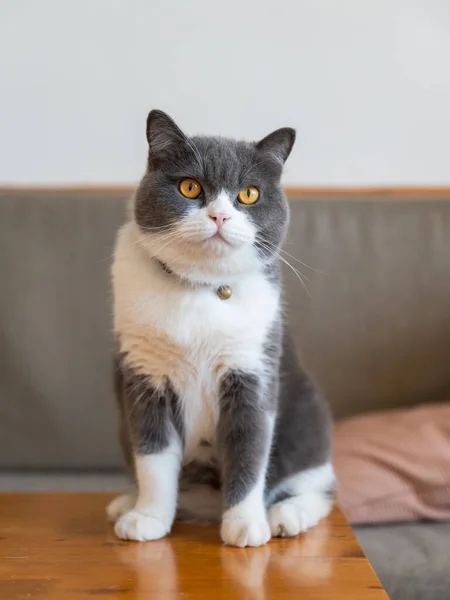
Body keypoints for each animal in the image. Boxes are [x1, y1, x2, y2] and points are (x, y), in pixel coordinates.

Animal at [108, 110, 334, 548]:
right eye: (190, 186)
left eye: (249, 194)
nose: (220, 216)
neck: (200, 288)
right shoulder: (144, 375)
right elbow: (153, 455)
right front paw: (148, 516)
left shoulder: (251, 372)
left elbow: (249, 447)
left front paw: (245, 524)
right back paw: (127, 502)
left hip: (308, 417)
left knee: (319, 488)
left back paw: (286, 515)